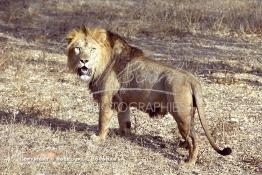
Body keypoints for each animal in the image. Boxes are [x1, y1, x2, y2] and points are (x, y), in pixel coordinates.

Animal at [65, 26, 231, 165]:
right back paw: (183, 145)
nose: (84, 61)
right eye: (78, 49)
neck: (101, 64)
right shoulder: (122, 101)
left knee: (195, 140)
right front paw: (122, 134)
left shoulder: (107, 99)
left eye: (93, 49)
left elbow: (103, 121)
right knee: (191, 134)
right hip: (189, 115)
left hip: (181, 115)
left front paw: (98, 138)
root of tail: (191, 79)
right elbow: (124, 121)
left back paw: (188, 162)